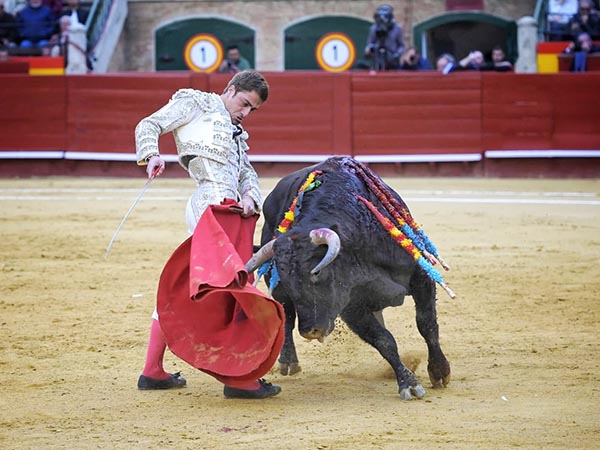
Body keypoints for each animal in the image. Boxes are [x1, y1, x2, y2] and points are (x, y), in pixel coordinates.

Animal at [247, 156, 450, 400]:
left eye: (317, 272)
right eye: (287, 280)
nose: (310, 332)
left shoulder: (421, 277)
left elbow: (426, 324)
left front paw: (439, 371)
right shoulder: (351, 307)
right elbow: (384, 340)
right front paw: (408, 383)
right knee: (286, 314)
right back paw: (288, 361)